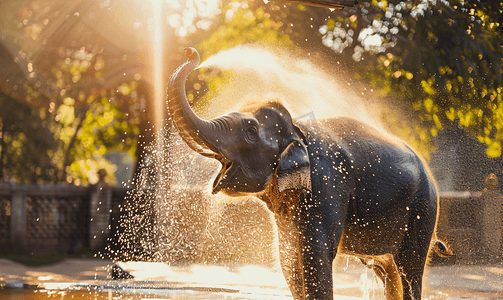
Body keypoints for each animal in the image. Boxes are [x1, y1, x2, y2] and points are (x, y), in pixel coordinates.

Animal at [166, 48, 452, 298]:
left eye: (250, 130)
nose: (190, 52)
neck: (297, 127)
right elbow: (289, 257)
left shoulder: (327, 184)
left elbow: (316, 253)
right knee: (386, 270)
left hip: (423, 210)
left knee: (409, 268)